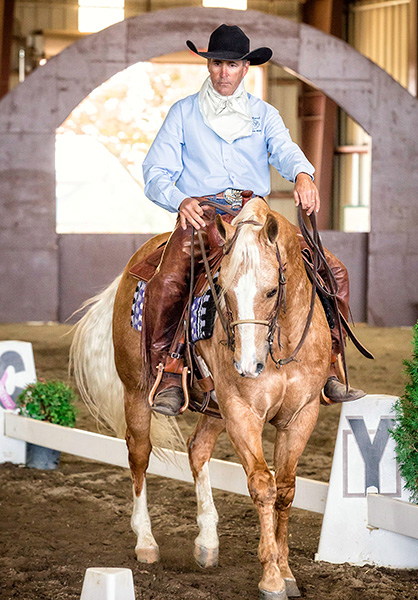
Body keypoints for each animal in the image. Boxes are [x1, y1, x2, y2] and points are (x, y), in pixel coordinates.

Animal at [72, 198, 334, 600]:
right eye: (222, 288)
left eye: (271, 291)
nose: (247, 365)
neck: (282, 344)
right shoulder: (242, 411)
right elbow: (263, 485)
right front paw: (271, 577)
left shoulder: (301, 415)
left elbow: (287, 489)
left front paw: (287, 571)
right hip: (139, 393)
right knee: (139, 455)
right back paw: (145, 541)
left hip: (215, 408)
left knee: (197, 448)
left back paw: (207, 542)